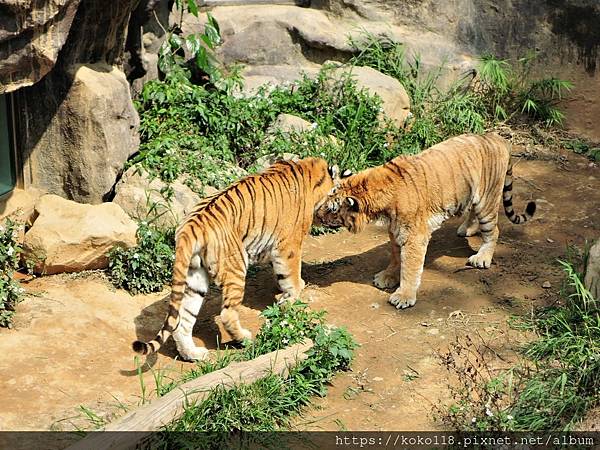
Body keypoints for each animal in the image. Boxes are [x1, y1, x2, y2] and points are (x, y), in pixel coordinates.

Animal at [131, 158, 346, 362]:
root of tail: (191, 226)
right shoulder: (288, 245)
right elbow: (291, 276)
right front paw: (292, 297)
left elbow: (281, 274)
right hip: (236, 268)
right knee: (226, 315)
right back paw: (244, 339)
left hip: (195, 278)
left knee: (183, 319)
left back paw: (193, 354)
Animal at [316, 132, 536, 312]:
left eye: (332, 209)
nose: (316, 214)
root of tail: (496, 138)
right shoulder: (395, 231)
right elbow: (396, 258)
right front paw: (387, 277)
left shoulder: (414, 236)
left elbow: (410, 268)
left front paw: (403, 296)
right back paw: (466, 229)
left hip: (487, 201)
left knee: (493, 231)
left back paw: (481, 258)